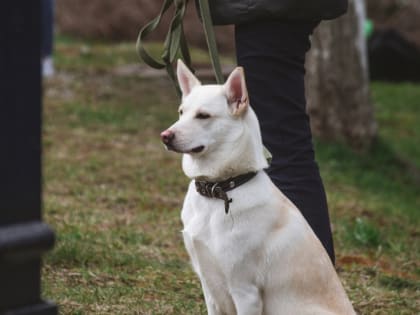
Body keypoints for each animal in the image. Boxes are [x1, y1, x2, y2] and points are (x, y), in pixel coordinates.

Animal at [159, 59, 356, 315]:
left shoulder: (245, 291)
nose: (165, 136)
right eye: (181, 113)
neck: (220, 189)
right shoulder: (209, 286)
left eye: (203, 116)